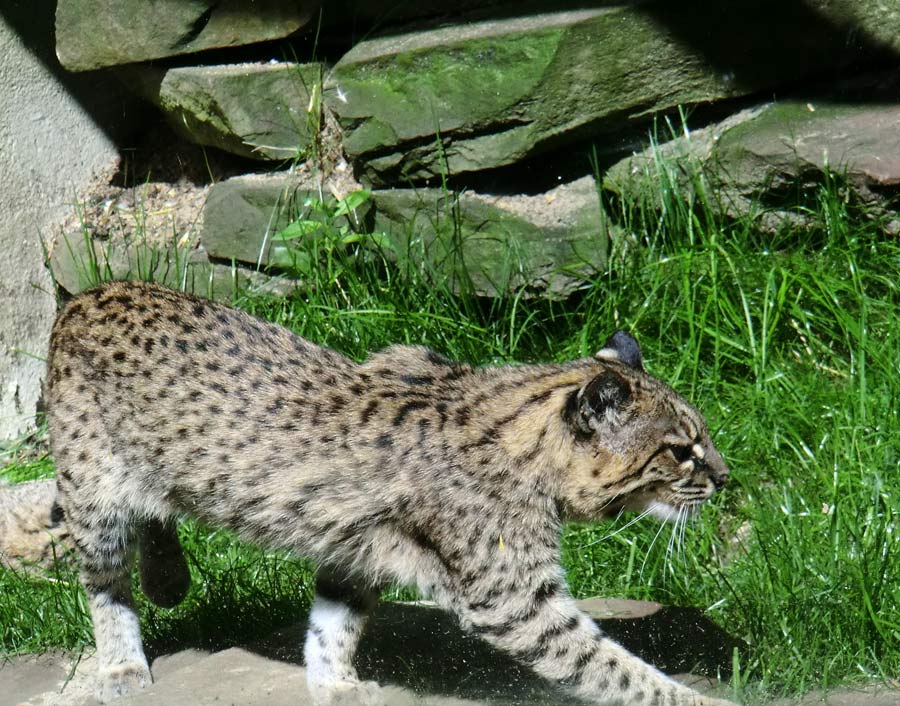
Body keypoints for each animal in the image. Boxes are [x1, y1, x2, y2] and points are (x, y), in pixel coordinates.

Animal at [45, 280, 740, 704]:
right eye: (681, 450)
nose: (725, 477)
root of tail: (91, 292)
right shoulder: (512, 597)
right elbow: (612, 665)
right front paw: (694, 698)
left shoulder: (356, 550)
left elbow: (333, 625)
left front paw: (334, 686)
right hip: (94, 489)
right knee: (103, 580)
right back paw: (122, 661)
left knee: (156, 515)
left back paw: (169, 578)